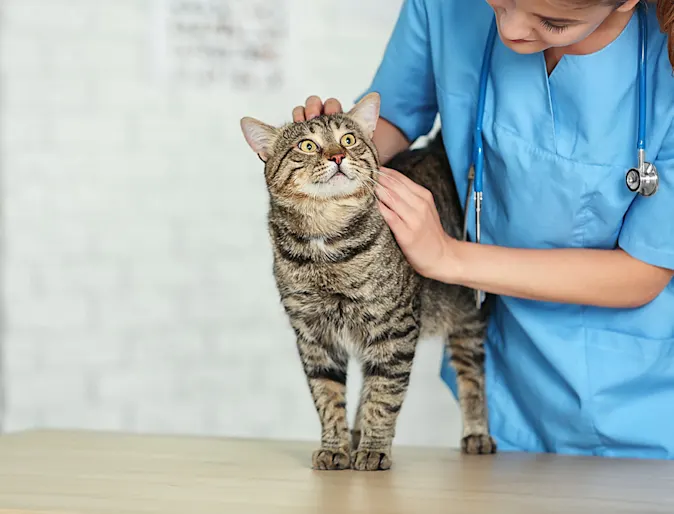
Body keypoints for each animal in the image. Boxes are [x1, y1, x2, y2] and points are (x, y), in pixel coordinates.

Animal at [239, 92, 490, 468]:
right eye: (308, 145)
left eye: (348, 139)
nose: (337, 156)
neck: (325, 244)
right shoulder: (314, 337)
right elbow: (328, 398)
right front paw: (335, 447)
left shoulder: (395, 329)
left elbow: (383, 396)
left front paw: (373, 449)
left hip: (468, 318)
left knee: (472, 375)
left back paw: (476, 433)